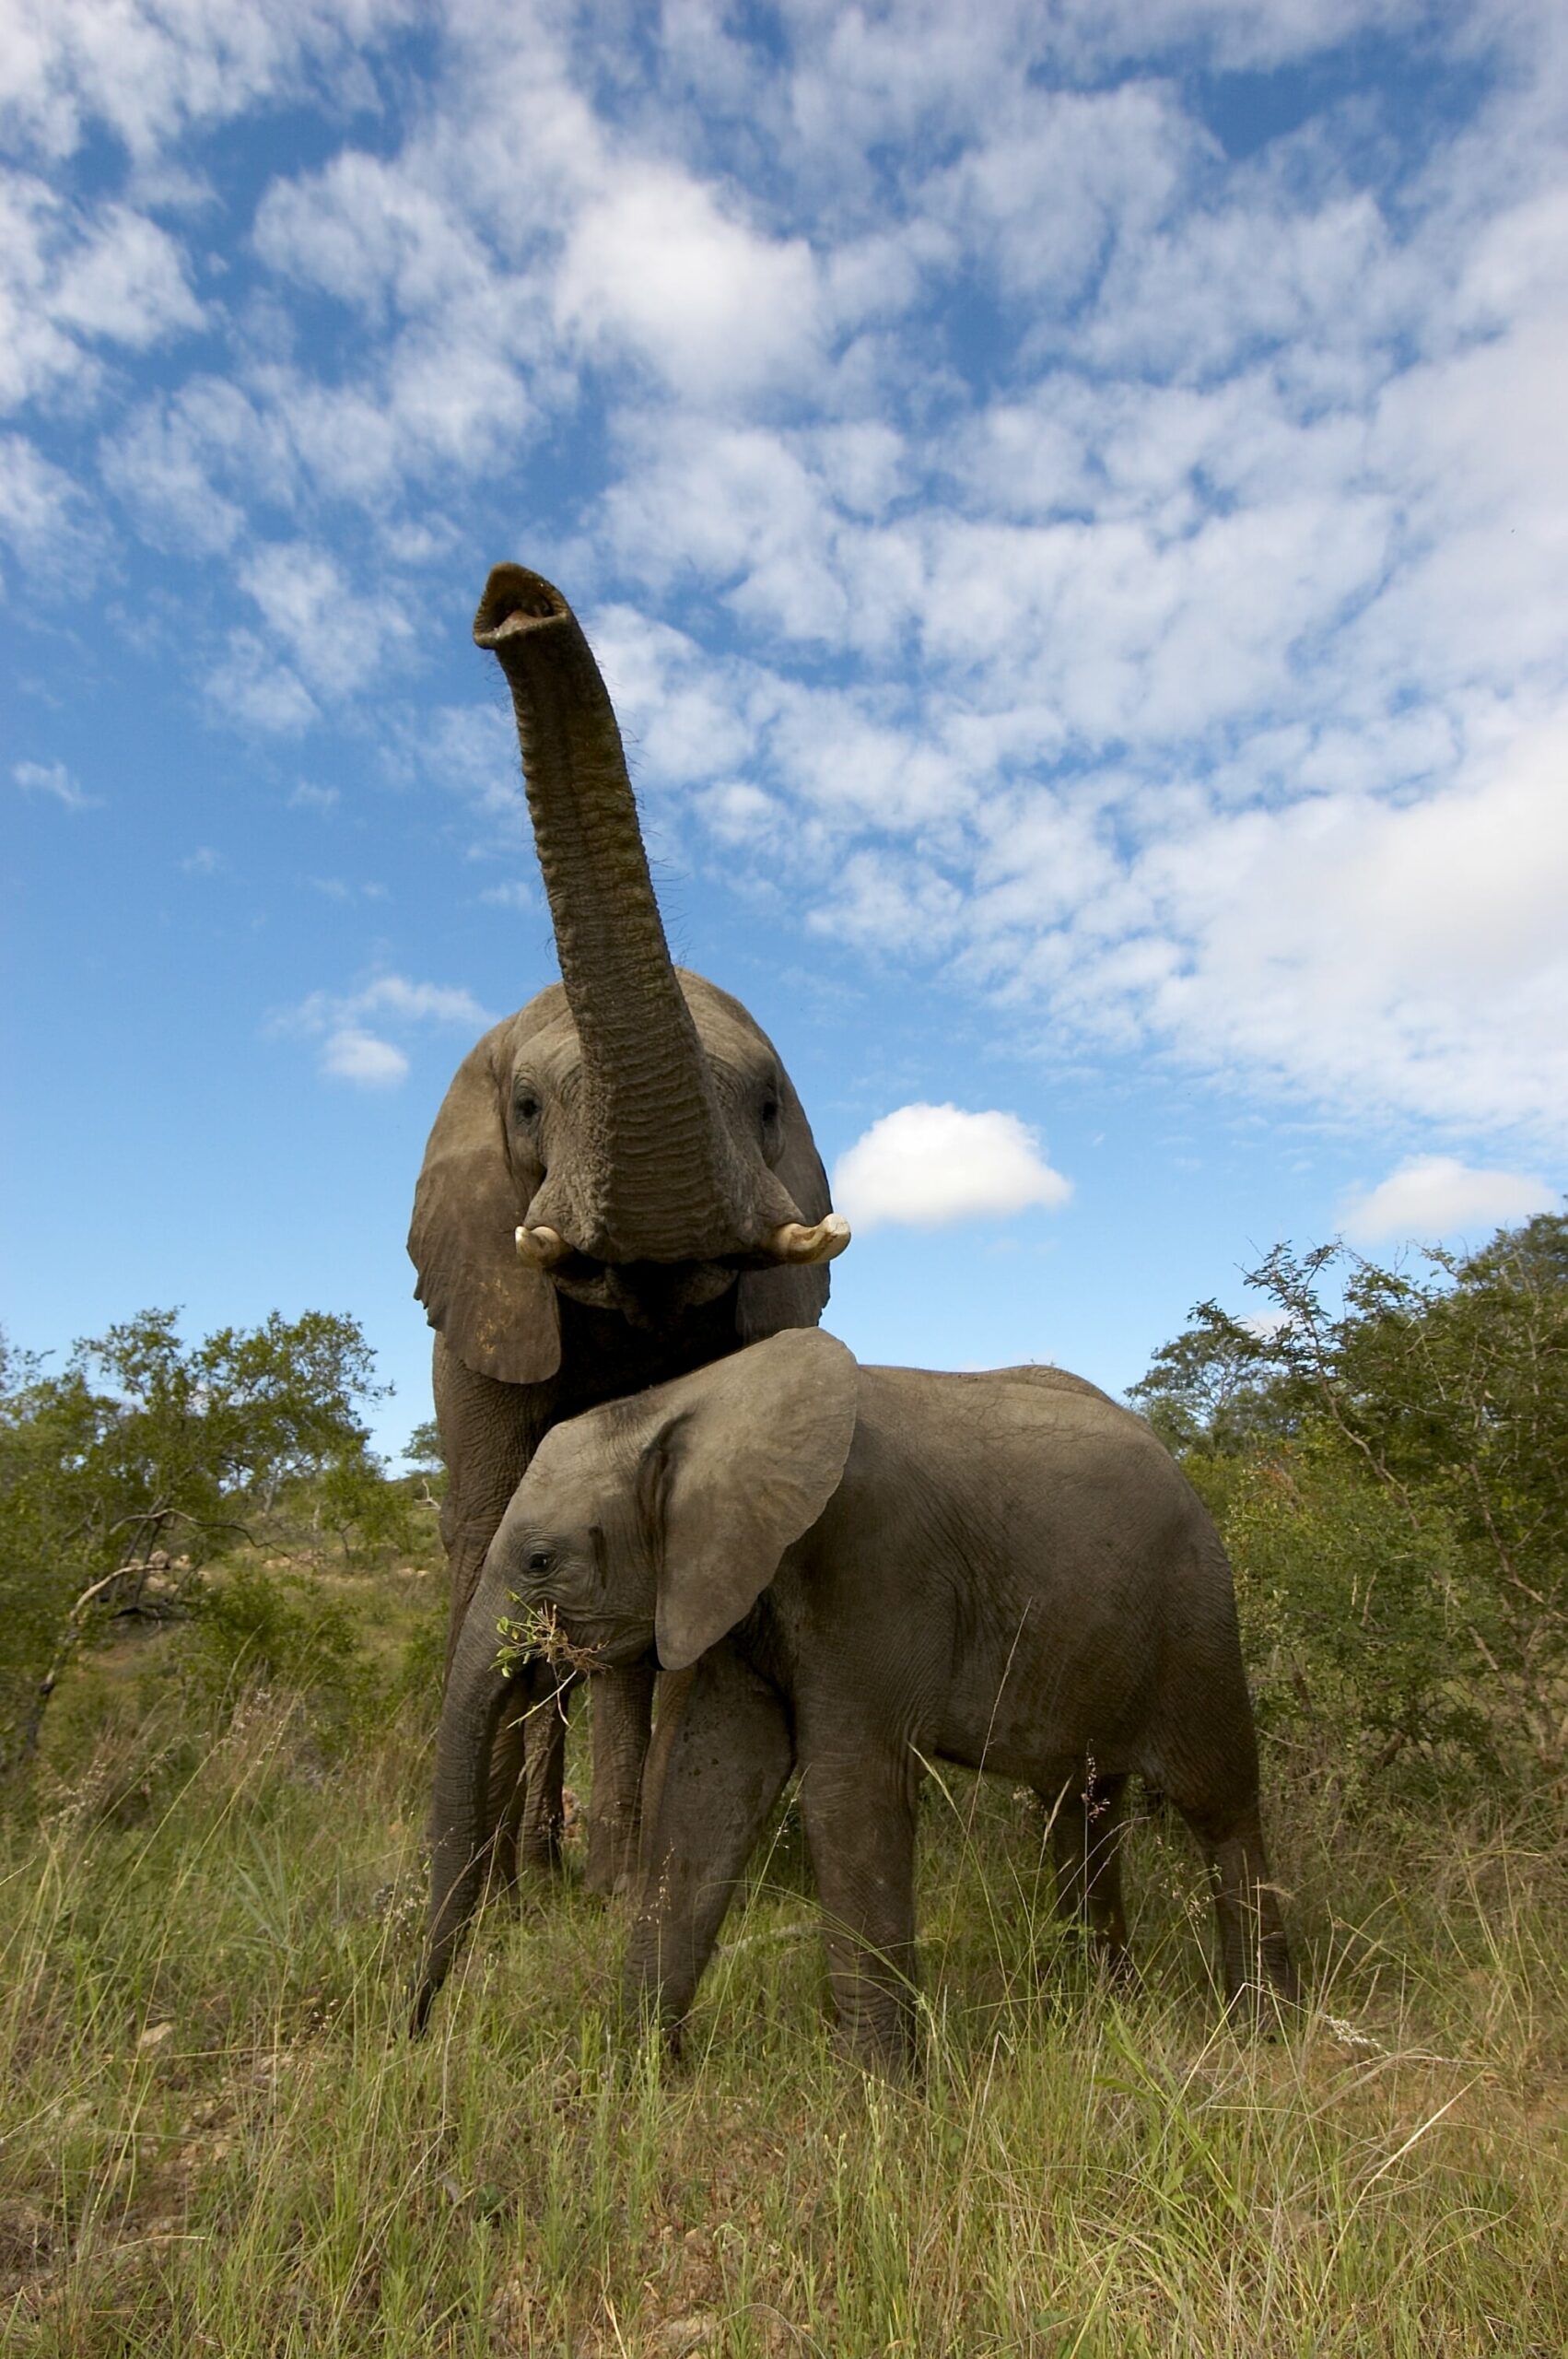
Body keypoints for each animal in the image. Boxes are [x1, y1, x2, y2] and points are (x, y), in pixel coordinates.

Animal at [409, 565, 848, 1896]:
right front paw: (510, 1901)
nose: (514, 605)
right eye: (528, 1108)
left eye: (767, 1105)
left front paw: (617, 1887)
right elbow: (486, 1556)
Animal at [416, 1328, 1299, 2068]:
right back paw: (1108, 2010)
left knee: (1219, 1804)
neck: (692, 1401)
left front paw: (881, 2099)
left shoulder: (873, 1566)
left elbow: (849, 1793)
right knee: (1079, 1815)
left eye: (539, 1561)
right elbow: (705, 1788)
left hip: (1196, 1614)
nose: (418, 2024)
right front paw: (634, 2079)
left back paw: (1264, 2030)